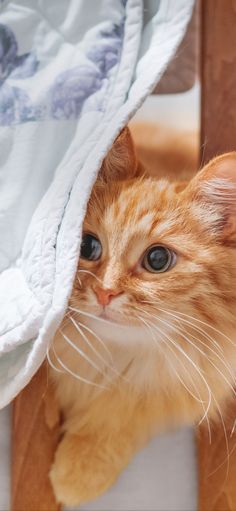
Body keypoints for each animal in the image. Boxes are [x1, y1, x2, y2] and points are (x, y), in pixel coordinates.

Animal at [49, 126, 236, 506]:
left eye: (158, 260)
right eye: (87, 246)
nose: (105, 292)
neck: (114, 361)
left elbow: (117, 422)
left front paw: (79, 473)